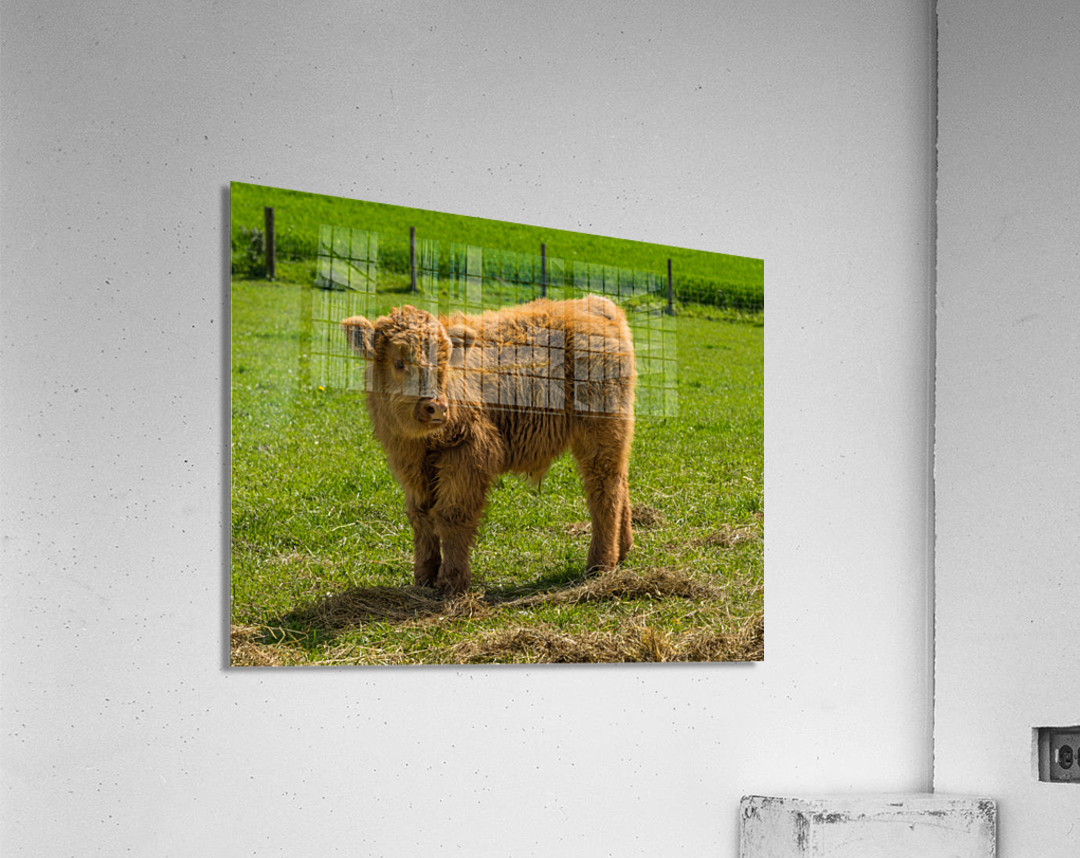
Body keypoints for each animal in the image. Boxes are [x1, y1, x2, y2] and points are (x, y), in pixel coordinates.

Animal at [341, 294, 636, 597]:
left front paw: (451, 582)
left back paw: (600, 564)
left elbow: (451, 517)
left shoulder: (468, 458)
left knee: (604, 489)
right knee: (620, 482)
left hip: (600, 431)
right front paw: (423, 578)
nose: (436, 407)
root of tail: (595, 303)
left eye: (443, 361)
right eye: (399, 363)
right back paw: (622, 550)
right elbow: (421, 518)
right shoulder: (410, 468)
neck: (422, 442)